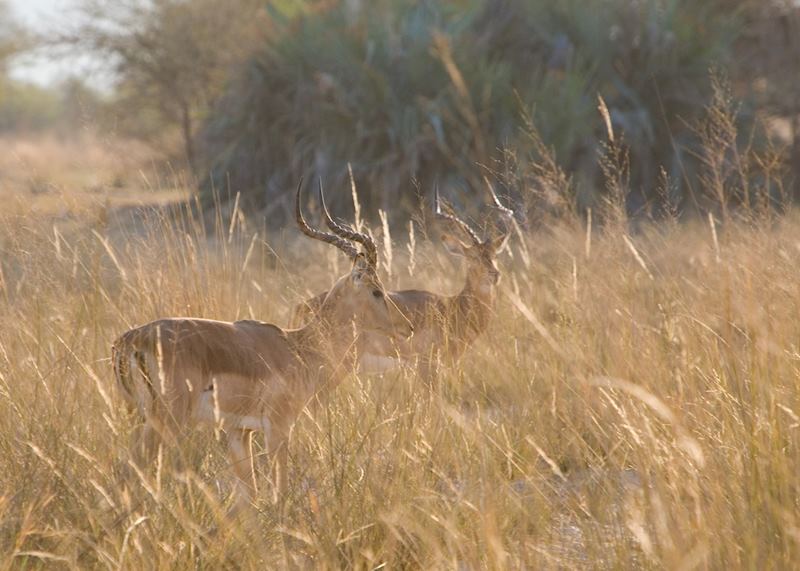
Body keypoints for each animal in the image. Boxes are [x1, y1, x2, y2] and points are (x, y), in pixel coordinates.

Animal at [111, 181, 413, 515]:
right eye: (377, 291)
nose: (407, 327)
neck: (300, 350)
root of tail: (132, 339)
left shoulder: (238, 431)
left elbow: (248, 497)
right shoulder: (278, 428)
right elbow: (279, 494)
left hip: (142, 418)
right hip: (165, 420)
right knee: (127, 470)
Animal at [291, 185, 513, 377]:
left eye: (494, 255)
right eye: (472, 257)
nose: (494, 274)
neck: (453, 307)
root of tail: (302, 307)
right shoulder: (427, 366)